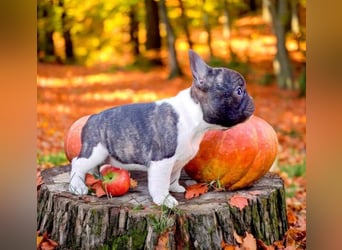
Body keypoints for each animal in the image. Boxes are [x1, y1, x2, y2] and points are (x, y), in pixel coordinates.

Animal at [69, 49, 254, 208]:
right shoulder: (162, 160)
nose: (251, 99)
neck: (195, 116)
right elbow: (160, 182)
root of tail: (92, 117)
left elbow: (174, 176)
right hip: (95, 150)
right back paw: (77, 186)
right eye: (239, 91)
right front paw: (165, 199)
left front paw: (175, 188)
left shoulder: (178, 161)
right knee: (77, 163)